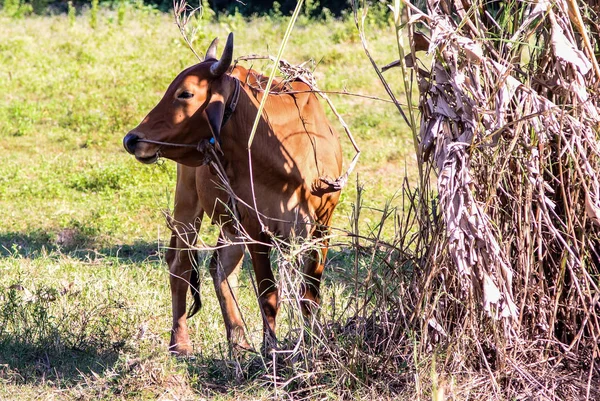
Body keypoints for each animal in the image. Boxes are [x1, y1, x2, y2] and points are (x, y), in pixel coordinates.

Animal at [123, 33, 342, 354]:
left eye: (185, 94)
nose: (132, 139)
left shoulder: (322, 225)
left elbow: (310, 295)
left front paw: (314, 344)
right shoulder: (256, 228)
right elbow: (268, 295)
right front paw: (271, 349)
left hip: (229, 222)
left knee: (220, 268)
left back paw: (238, 340)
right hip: (188, 204)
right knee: (181, 265)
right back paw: (180, 342)